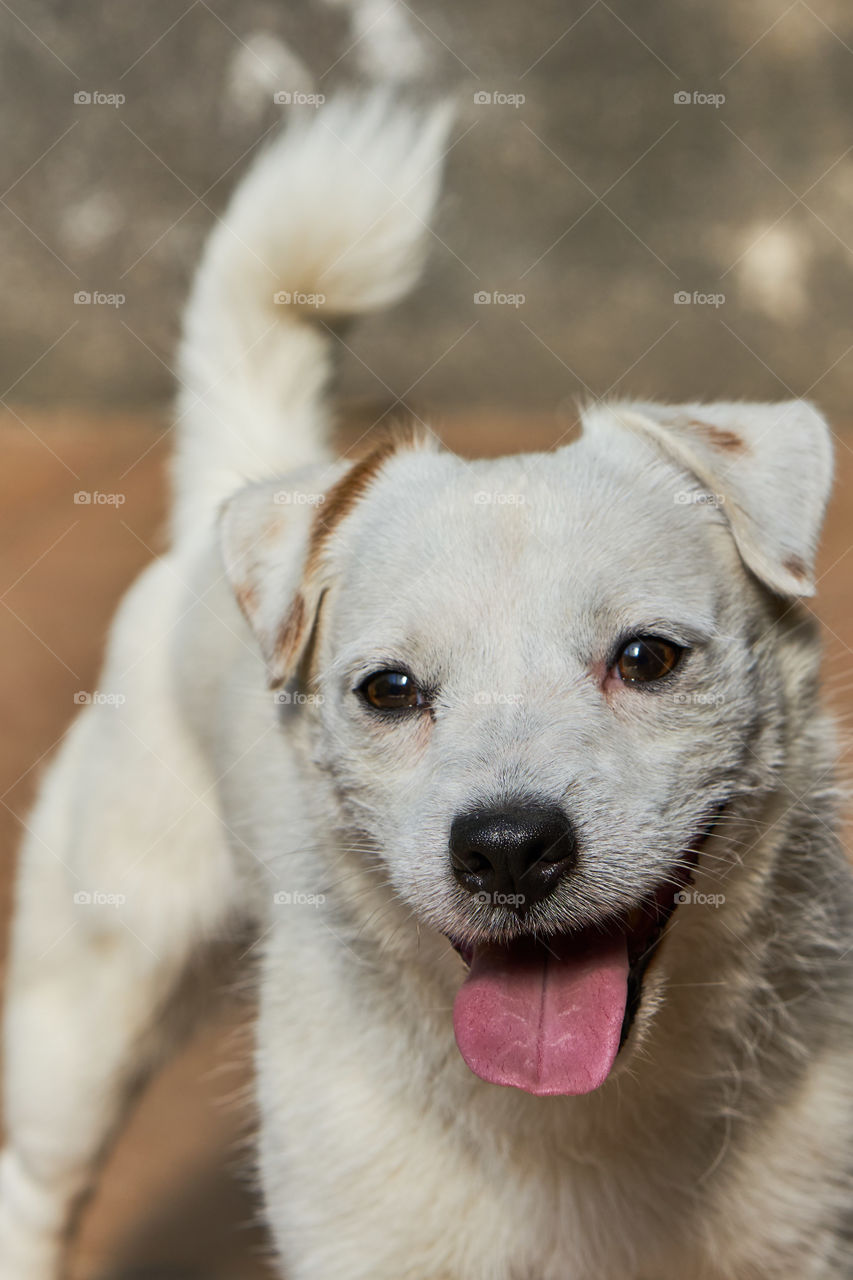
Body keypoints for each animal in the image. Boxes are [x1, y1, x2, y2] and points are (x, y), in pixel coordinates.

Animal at [1, 94, 850, 1274]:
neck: (573, 1120)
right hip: (87, 1007)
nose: (508, 848)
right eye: (390, 689)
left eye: (646, 657)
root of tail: (235, 483)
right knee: (35, 1185)